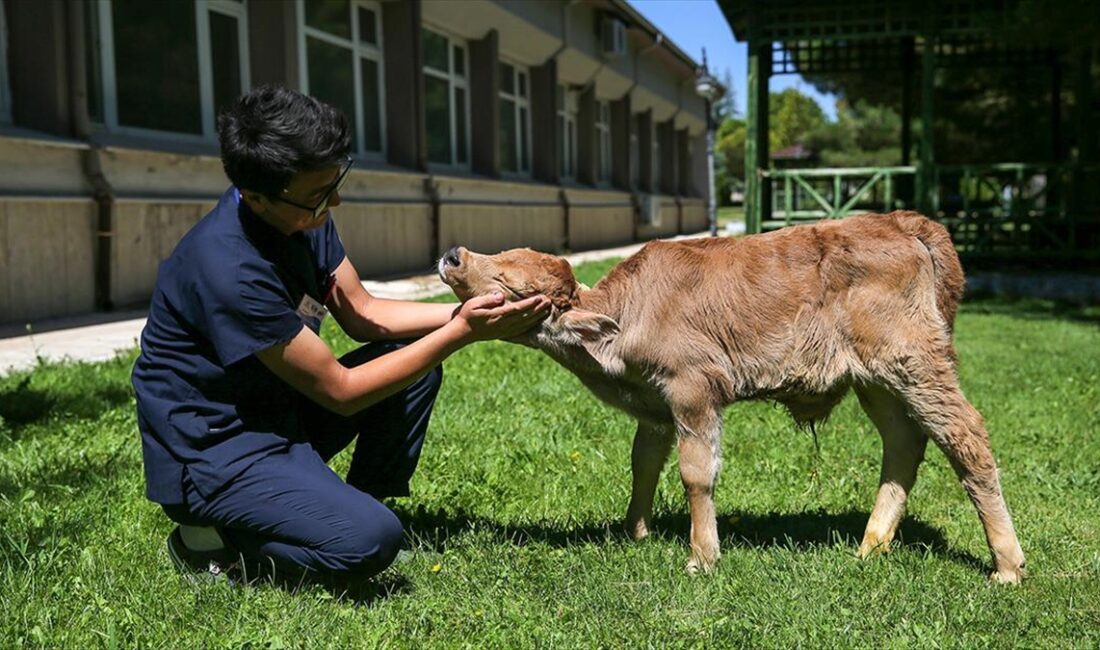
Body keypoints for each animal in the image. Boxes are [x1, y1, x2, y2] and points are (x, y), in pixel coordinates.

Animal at [437, 213, 1020, 585]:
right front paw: (636, 532)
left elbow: (696, 472)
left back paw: (1006, 566)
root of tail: (905, 222)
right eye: (501, 255)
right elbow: (644, 462)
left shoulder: (693, 390)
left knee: (965, 437)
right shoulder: (655, 406)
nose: (453, 254)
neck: (626, 315)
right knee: (904, 442)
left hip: (915, 363)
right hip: (877, 380)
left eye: (511, 285)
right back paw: (870, 545)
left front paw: (702, 557)